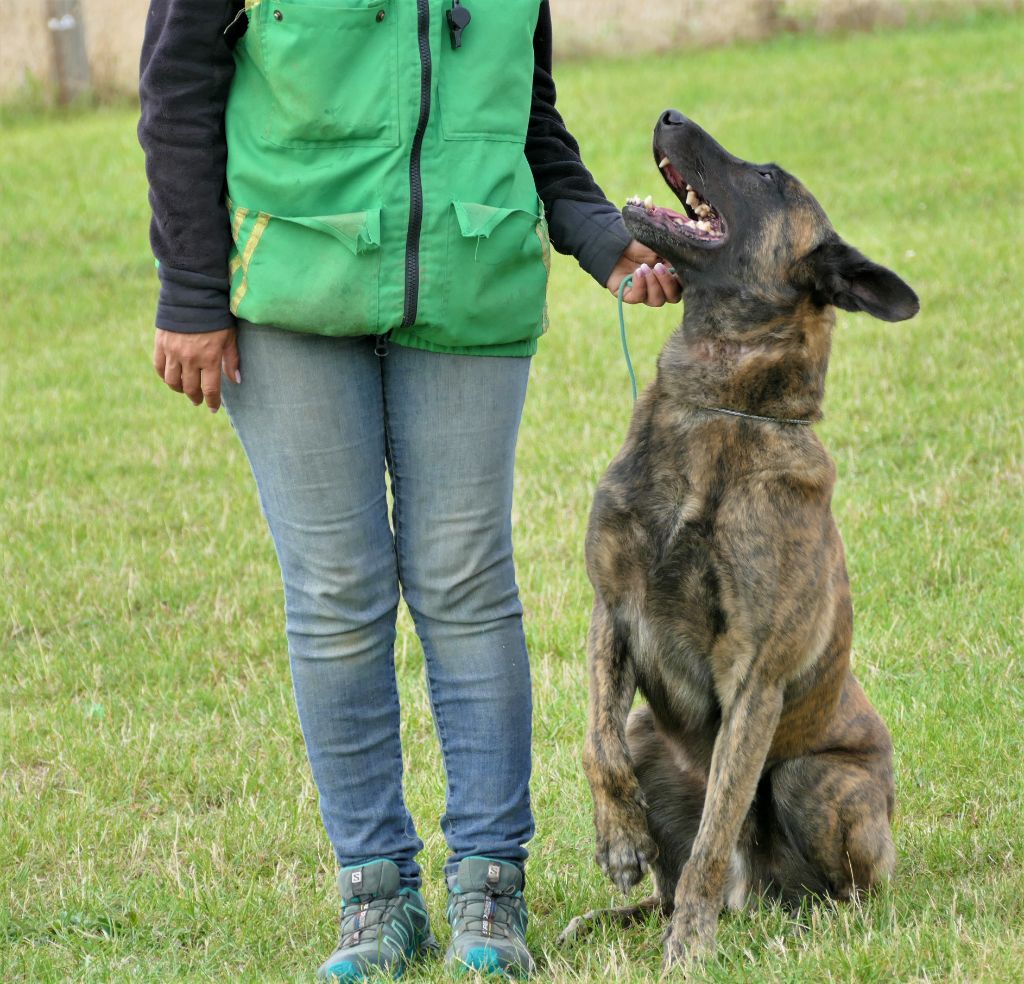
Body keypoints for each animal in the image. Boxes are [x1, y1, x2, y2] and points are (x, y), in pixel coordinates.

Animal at [569, 115, 921, 966]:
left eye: (768, 177)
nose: (669, 114)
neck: (719, 406)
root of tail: (754, 894)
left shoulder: (754, 680)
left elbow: (714, 828)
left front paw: (689, 949)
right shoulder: (610, 612)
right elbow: (595, 742)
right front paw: (618, 839)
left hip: (815, 781)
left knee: (836, 888)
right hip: (652, 736)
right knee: (660, 859)